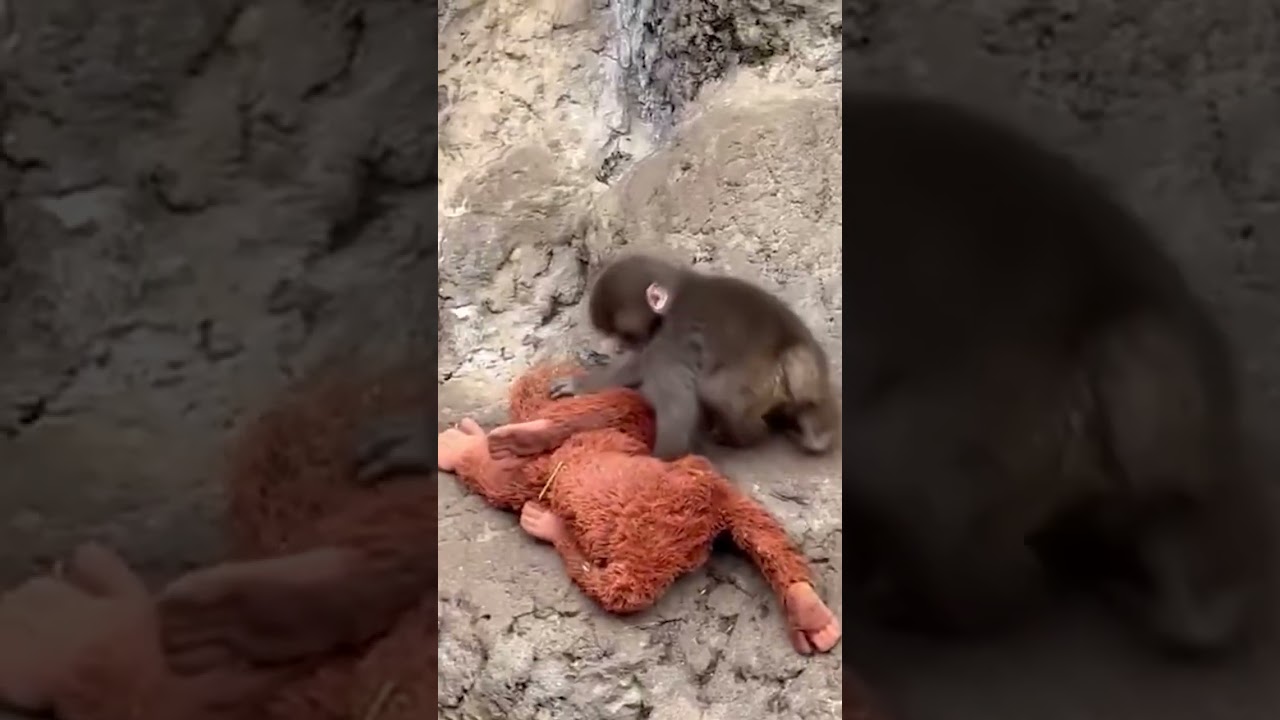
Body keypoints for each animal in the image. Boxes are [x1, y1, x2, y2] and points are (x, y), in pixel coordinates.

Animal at [550, 254, 841, 460]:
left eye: (624, 333)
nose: (620, 346)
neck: (678, 292)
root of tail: (790, 352)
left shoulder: (672, 337)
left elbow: (675, 403)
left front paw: (658, 462)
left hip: (766, 381)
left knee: (717, 392)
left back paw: (748, 435)